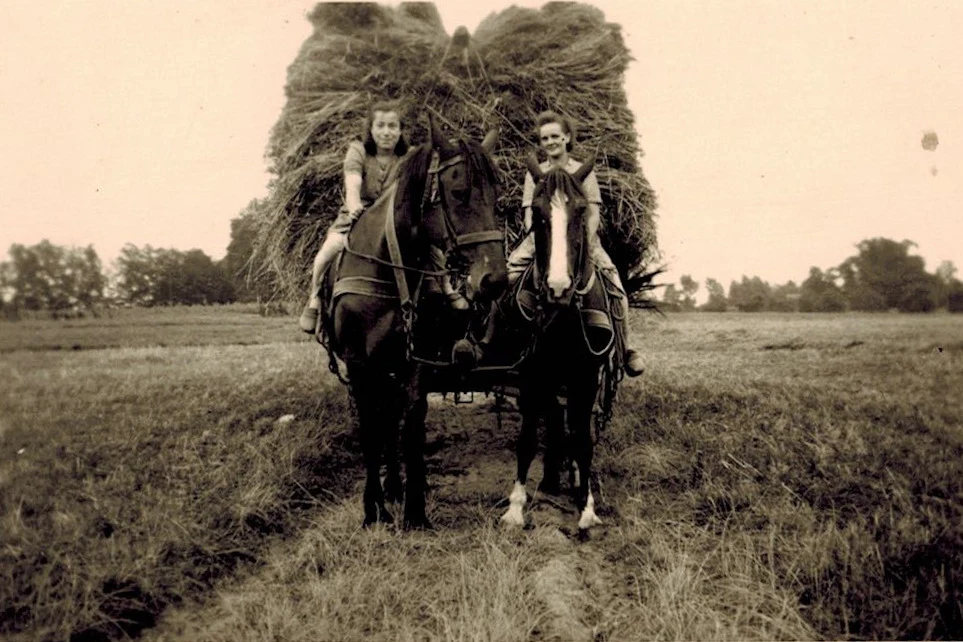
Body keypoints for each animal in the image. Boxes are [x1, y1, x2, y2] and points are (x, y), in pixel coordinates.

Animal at [324, 117, 508, 528]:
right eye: (458, 192)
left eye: (497, 195)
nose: (494, 280)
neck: (391, 272)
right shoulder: (360, 367)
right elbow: (371, 432)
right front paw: (373, 509)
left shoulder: (416, 363)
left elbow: (410, 427)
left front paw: (414, 511)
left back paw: (397, 485)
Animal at [500, 154, 612, 528]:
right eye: (537, 212)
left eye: (580, 210)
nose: (558, 288)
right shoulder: (531, 376)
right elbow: (527, 439)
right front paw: (516, 506)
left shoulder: (586, 379)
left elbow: (583, 440)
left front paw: (587, 507)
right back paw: (550, 477)